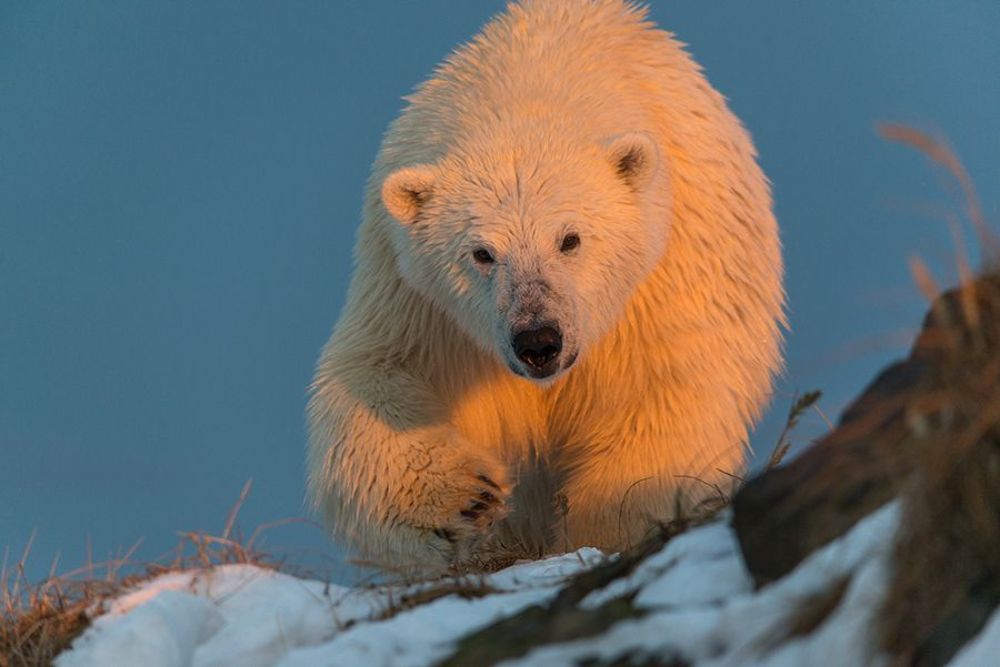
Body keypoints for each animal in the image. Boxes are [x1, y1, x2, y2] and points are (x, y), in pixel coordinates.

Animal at [308, 0, 784, 574]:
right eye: (482, 253)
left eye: (570, 239)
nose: (538, 341)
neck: (533, 77)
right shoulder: (419, 299)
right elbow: (375, 377)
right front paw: (467, 495)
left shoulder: (670, 271)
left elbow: (663, 393)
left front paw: (610, 523)